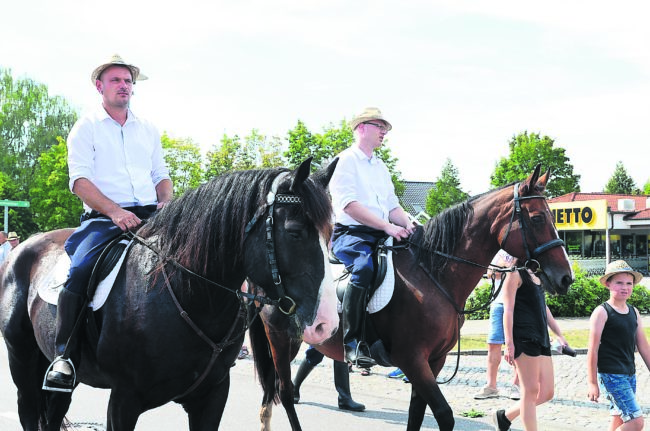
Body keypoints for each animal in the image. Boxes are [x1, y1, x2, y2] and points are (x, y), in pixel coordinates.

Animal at [1, 159, 340, 431]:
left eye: (330, 232)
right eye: (295, 232)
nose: (327, 323)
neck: (186, 293)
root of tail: (23, 247)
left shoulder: (212, 396)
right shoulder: (123, 400)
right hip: (22, 358)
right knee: (29, 411)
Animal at [246, 165, 568, 431]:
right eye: (538, 218)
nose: (566, 278)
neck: (432, 274)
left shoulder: (433, 360)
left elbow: (416, 414)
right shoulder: (412, 359)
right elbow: (443, 415)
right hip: (279, 337)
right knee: (283, 391)